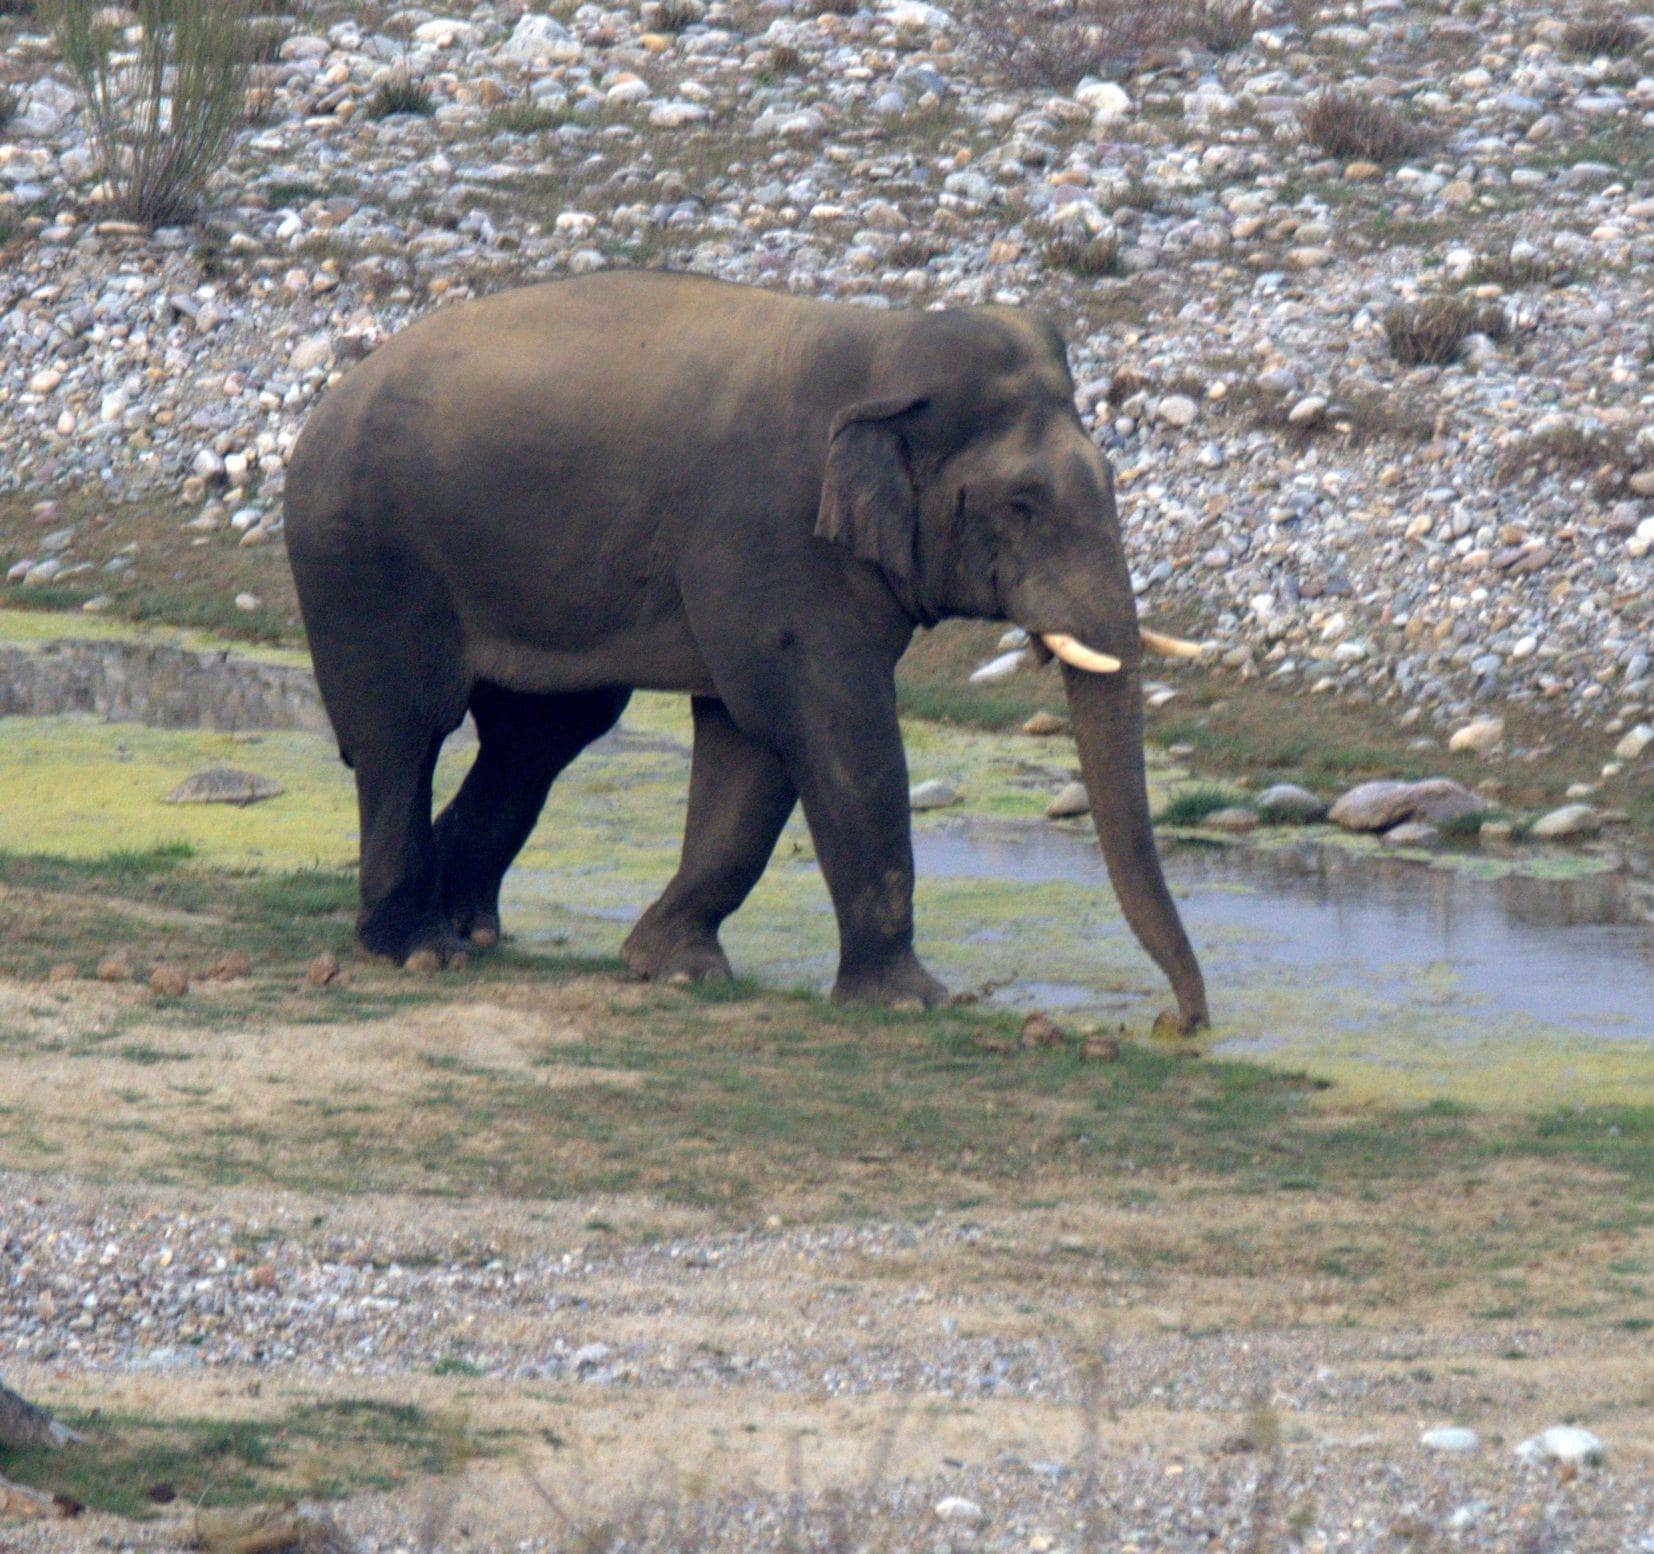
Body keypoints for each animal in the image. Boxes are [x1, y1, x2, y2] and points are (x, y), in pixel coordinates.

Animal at [284, 270, 1209, 1031]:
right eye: (1021, 504)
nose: (1180, 1024)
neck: (882, 347)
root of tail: (324, 404)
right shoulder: (770, 536)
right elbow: (831, 726)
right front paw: (912, 1002)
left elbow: (751, 743)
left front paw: (673, 968)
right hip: (364, 560)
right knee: (404, 734)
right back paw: (417, 949)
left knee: (538, 739)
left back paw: (471, 927)